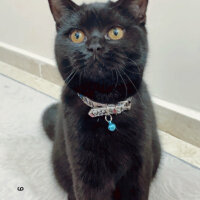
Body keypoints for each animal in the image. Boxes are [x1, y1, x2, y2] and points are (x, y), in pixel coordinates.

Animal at [42, 0, 161, 199]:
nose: (95, 46)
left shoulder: (140, 167)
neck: (106, 106)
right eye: (77, 35)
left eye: (115, 32)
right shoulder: (86, 172)